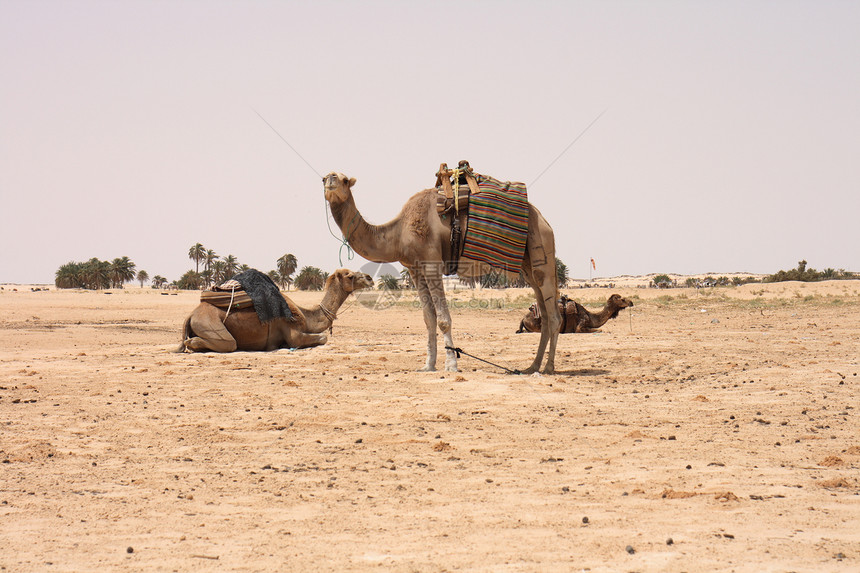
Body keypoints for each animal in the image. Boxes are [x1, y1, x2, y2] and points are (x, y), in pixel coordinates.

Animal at [178, 270, 372, 354]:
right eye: (350, 276)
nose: (369, 278)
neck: (306, 316)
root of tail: (191, 314)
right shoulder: (292, 330)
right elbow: (322, 338)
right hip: (209, 323)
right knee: (227, 343)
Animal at [324, 172, 564, 374]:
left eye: (344, 180)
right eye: (325, 178)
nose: (330, 179)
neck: (398, 233)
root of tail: (545, 221)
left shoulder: (431, 263)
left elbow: (443, 320)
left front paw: (451, 365)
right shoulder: (414, 269)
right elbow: (428, 319)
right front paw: (428, 365)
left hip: (541, 249)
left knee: (553, 315)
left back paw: (549, 367)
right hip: (527, 265)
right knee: (543, 310)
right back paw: (532, 367)